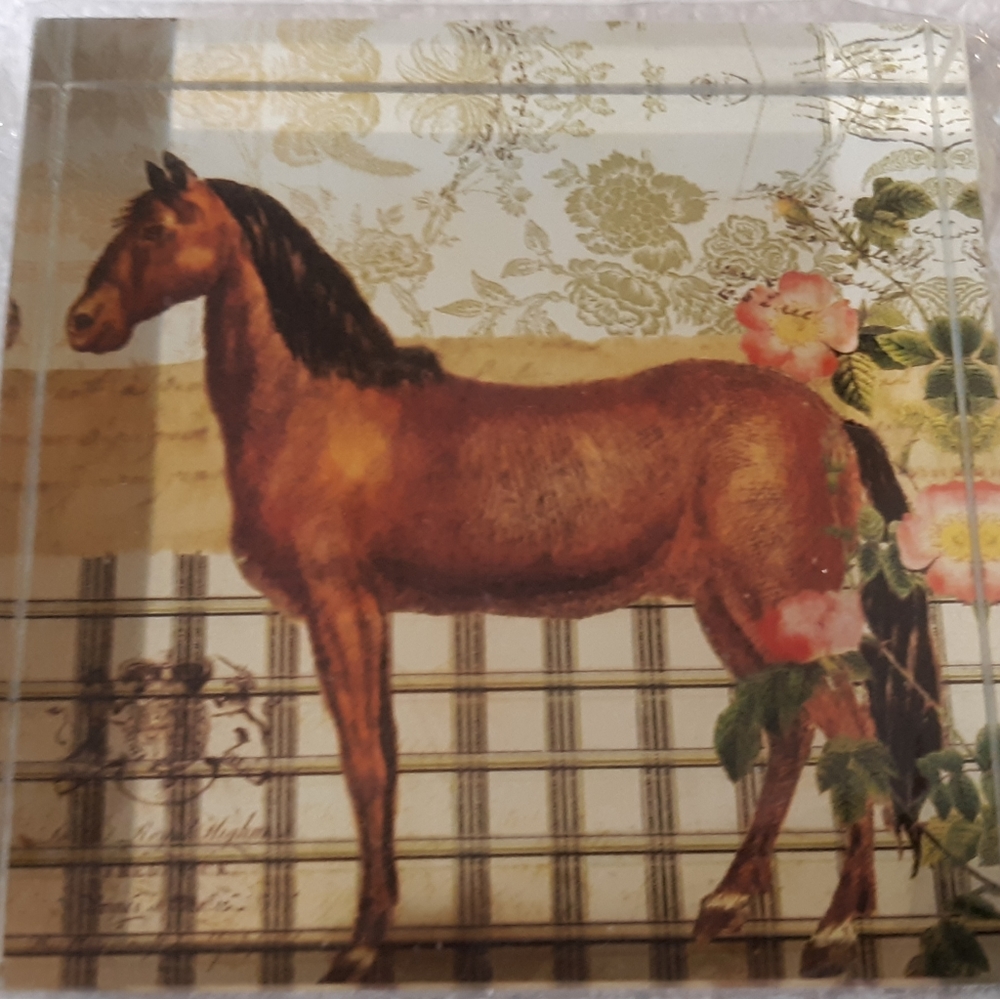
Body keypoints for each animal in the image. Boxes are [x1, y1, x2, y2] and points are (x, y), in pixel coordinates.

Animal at [67, 153, 941, 982]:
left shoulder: (341, 607)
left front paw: (361, 947)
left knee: (851, 732)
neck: (322, 411)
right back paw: (728, 900)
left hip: (774, 602)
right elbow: (381, 756)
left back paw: (836, 929)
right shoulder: (362, 615)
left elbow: (367, 765)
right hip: (725, 607)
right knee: (794, 729)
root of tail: (828, 419)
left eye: (155, 230)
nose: (82, 322)